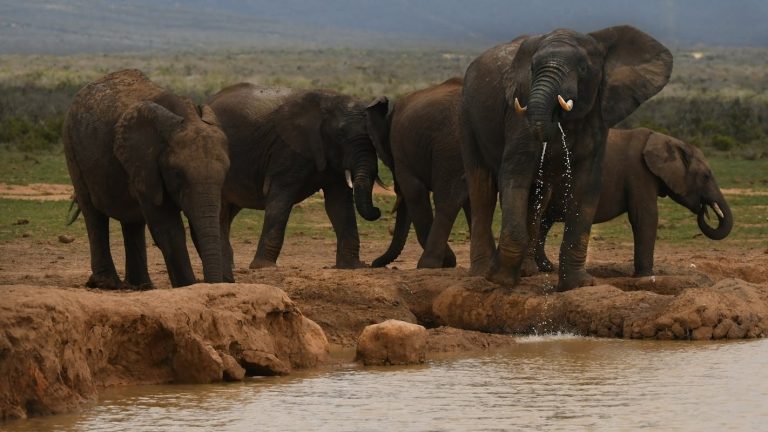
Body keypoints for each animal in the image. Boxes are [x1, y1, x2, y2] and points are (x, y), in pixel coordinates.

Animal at [63, 69, 230, 289]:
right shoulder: (146, 164)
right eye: (177, 174)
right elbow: (168, 227)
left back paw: (140, 285)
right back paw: (107, 284)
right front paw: (188, 287)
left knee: (132, 221)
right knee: (92, 212)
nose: (214, 283)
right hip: (72, 147)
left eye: (225, 173)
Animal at [207, 83, 388, 280]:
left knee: (228, 212)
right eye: (340, 134)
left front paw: (352, 267)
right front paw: (264, 267)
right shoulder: (287, 150)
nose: (378, 210)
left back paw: (229, 266)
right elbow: (280, 201)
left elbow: (339, 205)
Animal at [371, 77, 470, 269]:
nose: (373, 263)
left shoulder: (401, 152)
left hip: (449, 147)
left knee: (446, 200)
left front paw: (447, 261)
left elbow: (414, 191)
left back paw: (428, 264)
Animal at [460, 25, 673, 291]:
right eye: (532, 68)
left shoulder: (598, 115)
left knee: (536, 196)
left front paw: (578, 285)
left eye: (582, 68)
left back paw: (528, 272)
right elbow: (515, 173)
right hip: (468, 117)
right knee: (482, 189)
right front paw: (499, 280)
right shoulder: (519, 114)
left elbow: (587, 185)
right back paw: (482, 272)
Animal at [533, 127, 733, 276]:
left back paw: (546, 268)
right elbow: (645, 217)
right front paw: (646, 276)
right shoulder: (639, 173)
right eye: (706, 176)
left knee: (544, 222)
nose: (703, 209)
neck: (669, 140)